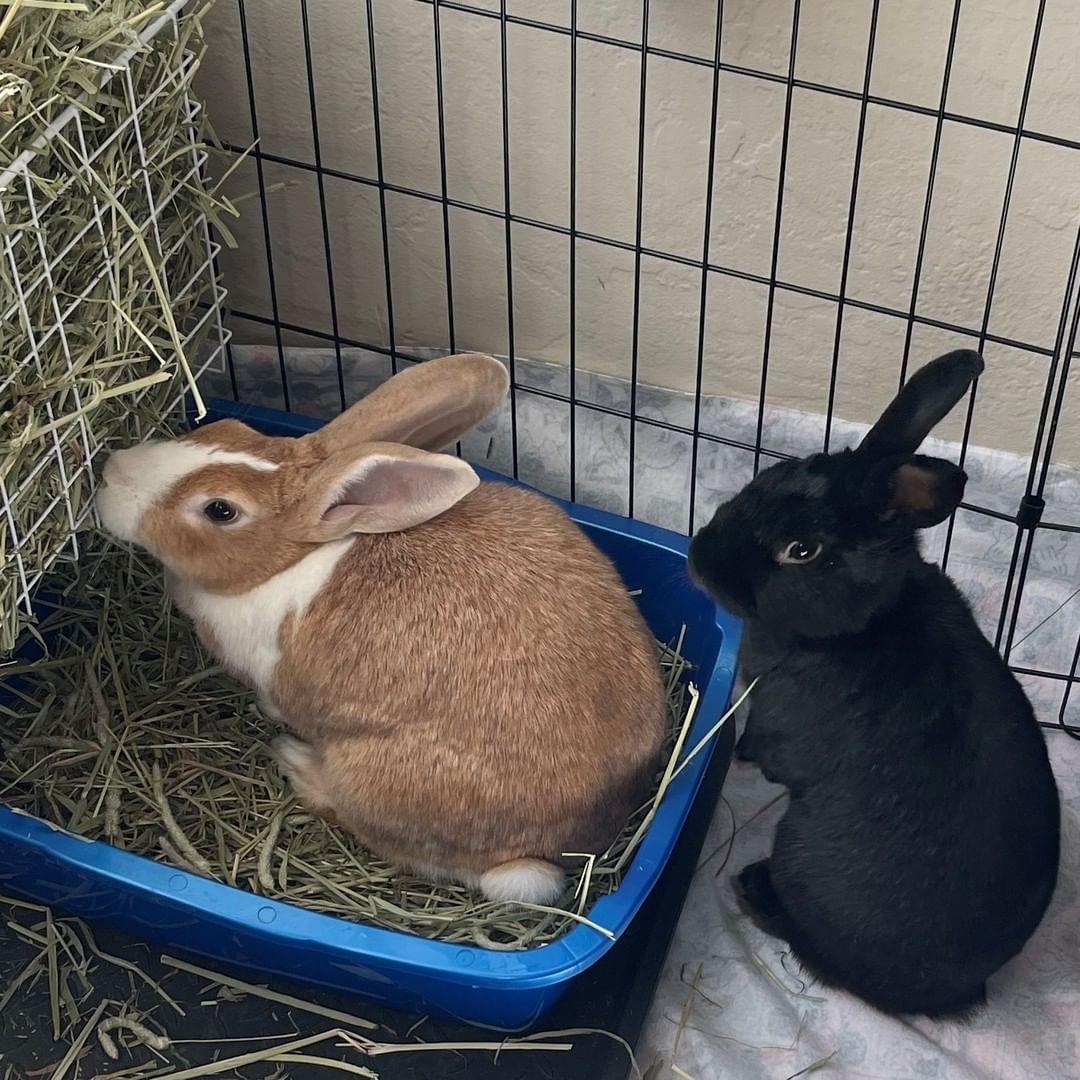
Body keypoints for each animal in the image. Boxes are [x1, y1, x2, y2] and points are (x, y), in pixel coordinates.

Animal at [95, 352, 665, 902]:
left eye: (219, 510)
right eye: (224, 426)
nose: (110, 472)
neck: (290, 558)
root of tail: (554, 851)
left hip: (368, 779)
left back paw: (295, 761)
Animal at [686, 349, 1058, 1015]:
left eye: (801, 550)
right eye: (777, 472)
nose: (700, 556)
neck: (861, 624)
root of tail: (952, 994)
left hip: (797, 847)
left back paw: (753, 890)